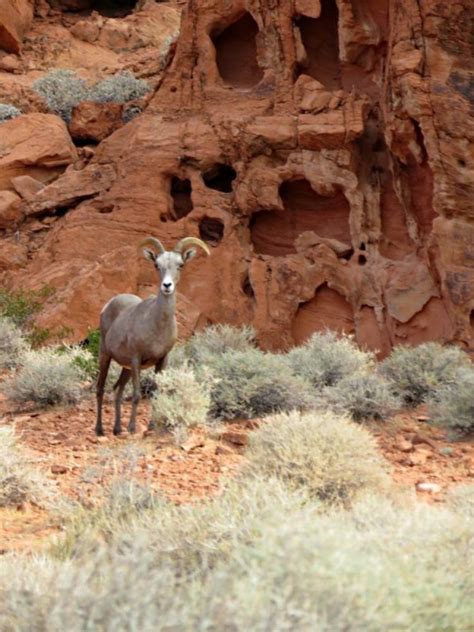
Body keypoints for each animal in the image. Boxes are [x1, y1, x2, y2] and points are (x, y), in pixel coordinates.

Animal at [94, 235, 209, 436]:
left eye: (180, 265)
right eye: (157, 265)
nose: (167, 286)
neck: (156, 327)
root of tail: (107, 305)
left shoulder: (162, 361)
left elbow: (156, 394)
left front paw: (152, 426)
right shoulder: (136, 359)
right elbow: (137, 394)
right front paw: (132, 428)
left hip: (125, 368)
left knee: (117, 389)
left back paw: (117, 429)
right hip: (105, 356)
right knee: (100, 389)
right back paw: (100, 430)